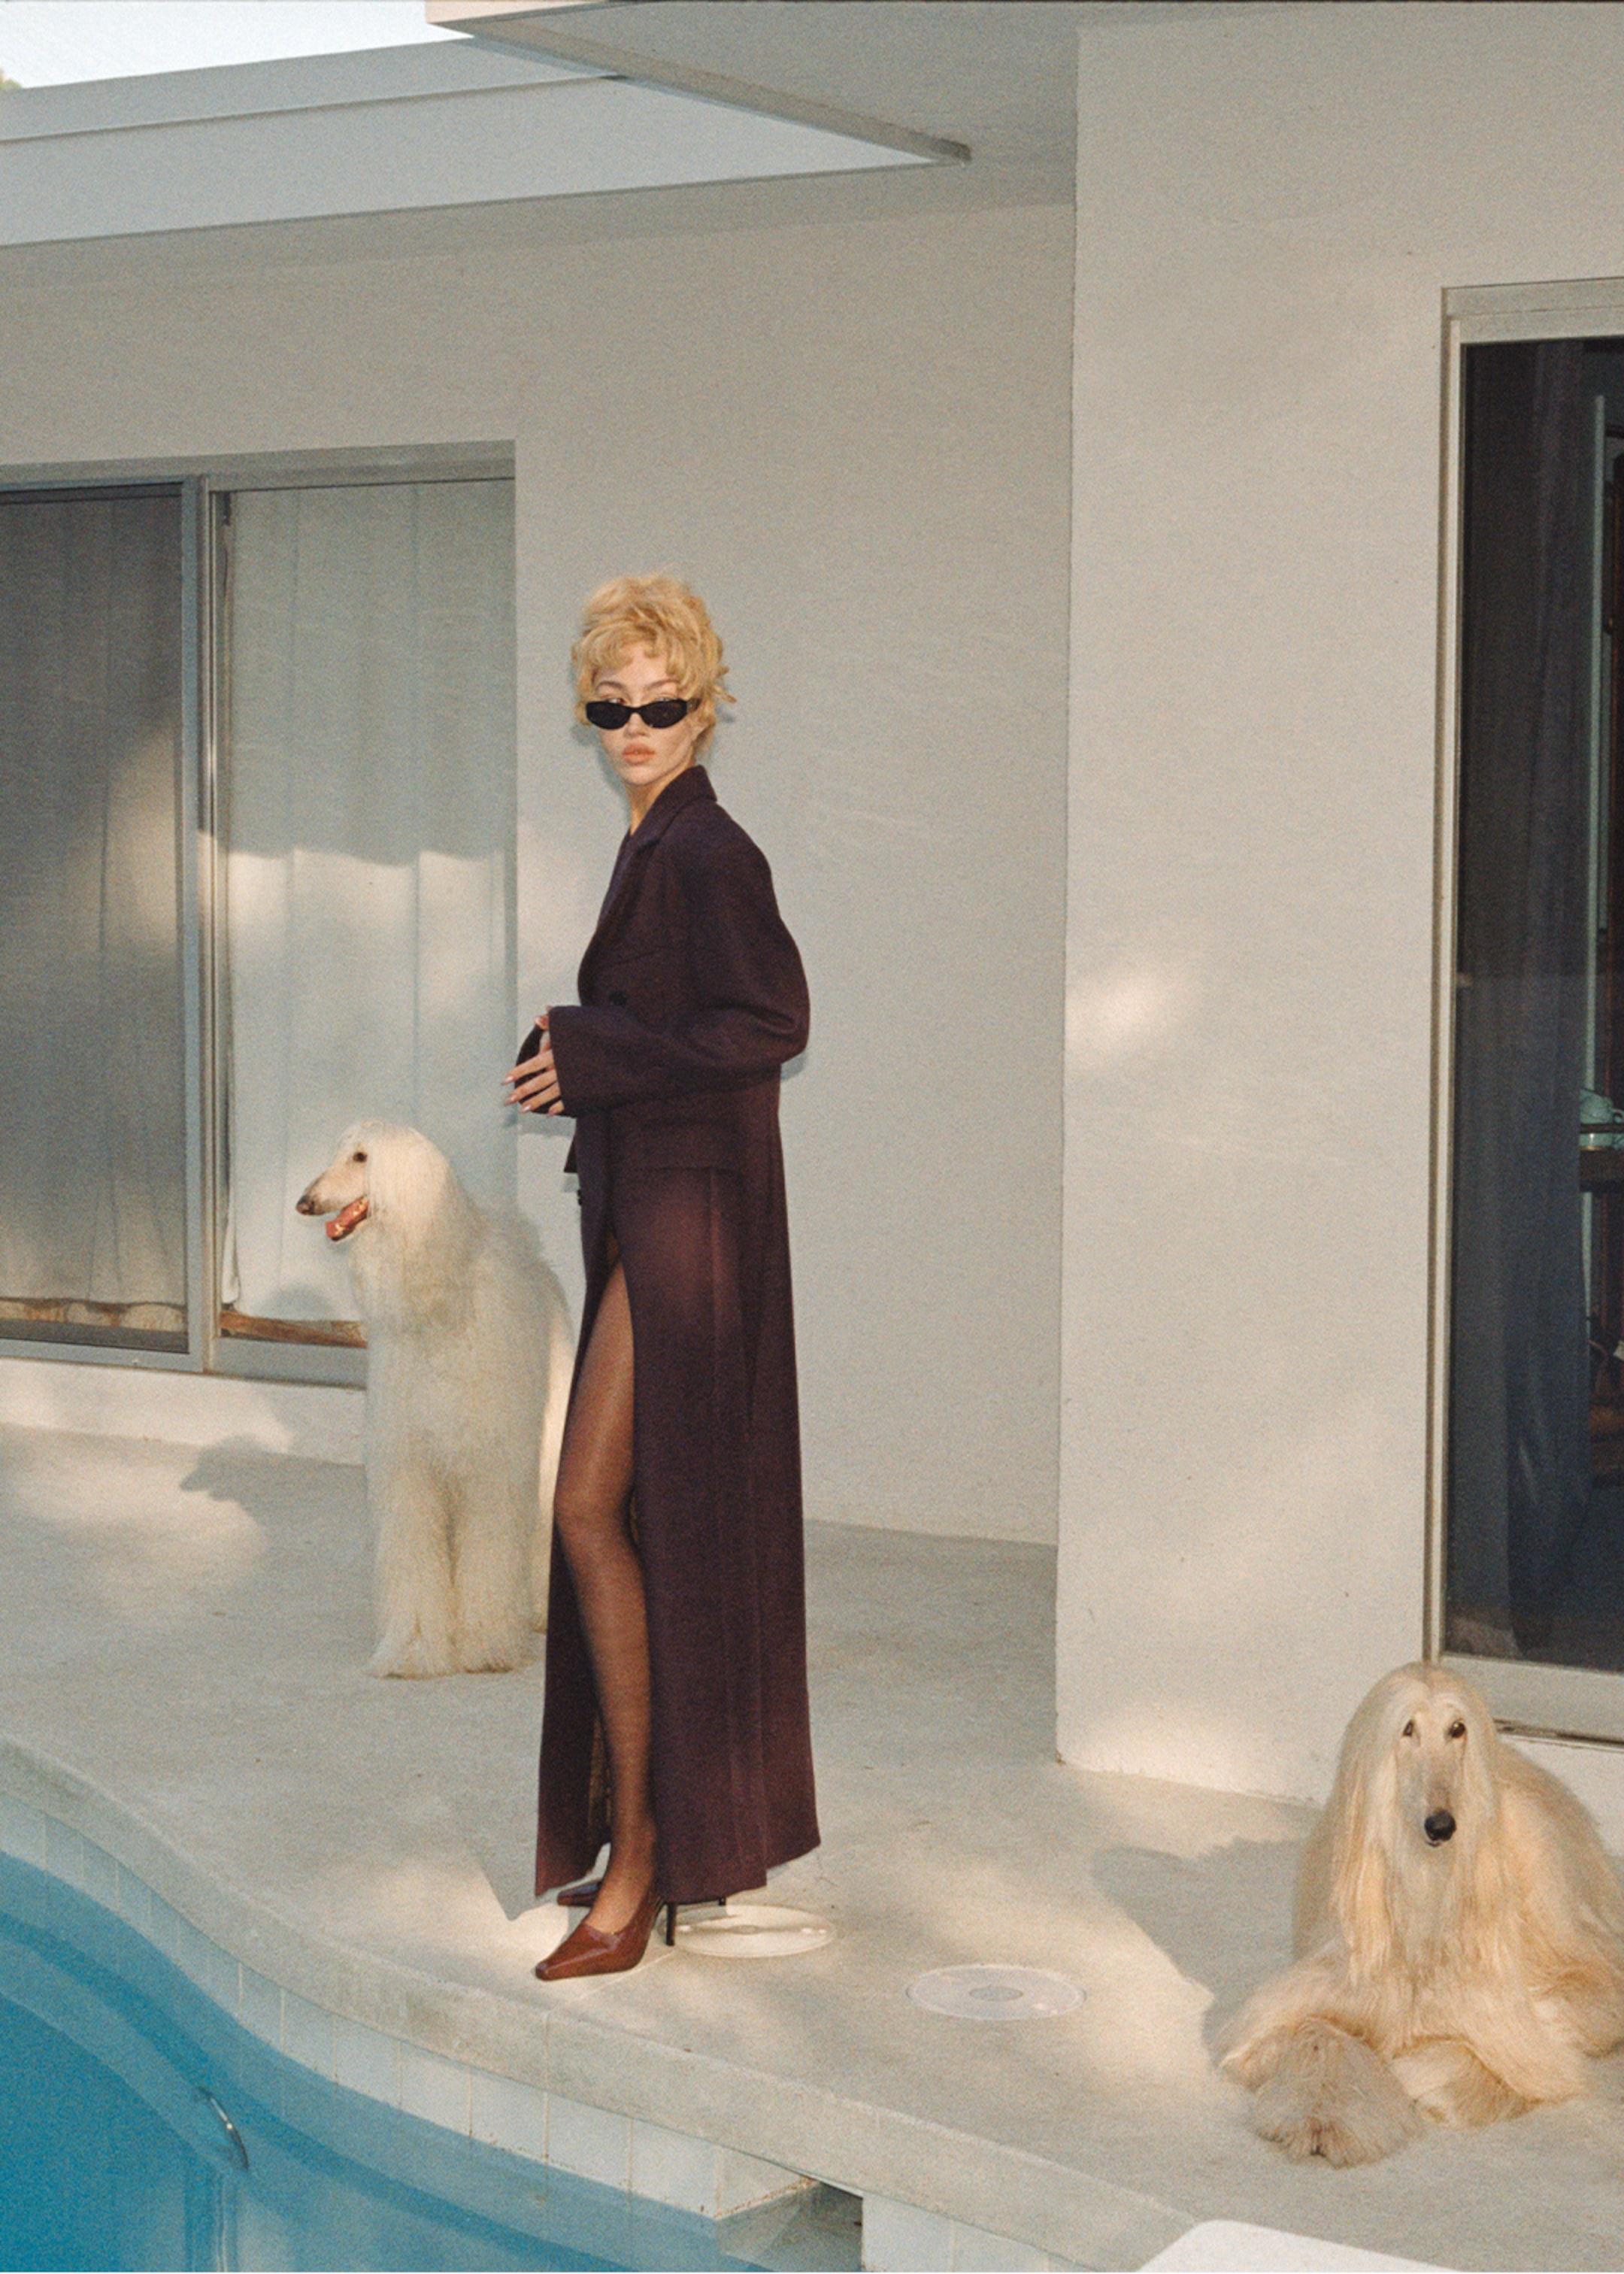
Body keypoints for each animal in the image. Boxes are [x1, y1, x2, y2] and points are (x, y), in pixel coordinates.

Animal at [1219, 1655, 1619, 2164]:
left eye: (1457, 1729)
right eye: (1407, 1729)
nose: (1442, 1825)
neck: (1425, 1884)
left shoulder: (1542, 2000)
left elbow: (1500, 2047)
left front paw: (1415, 2075)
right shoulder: (1321, 1984)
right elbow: (1312, 2032)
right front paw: (1321, 2119)